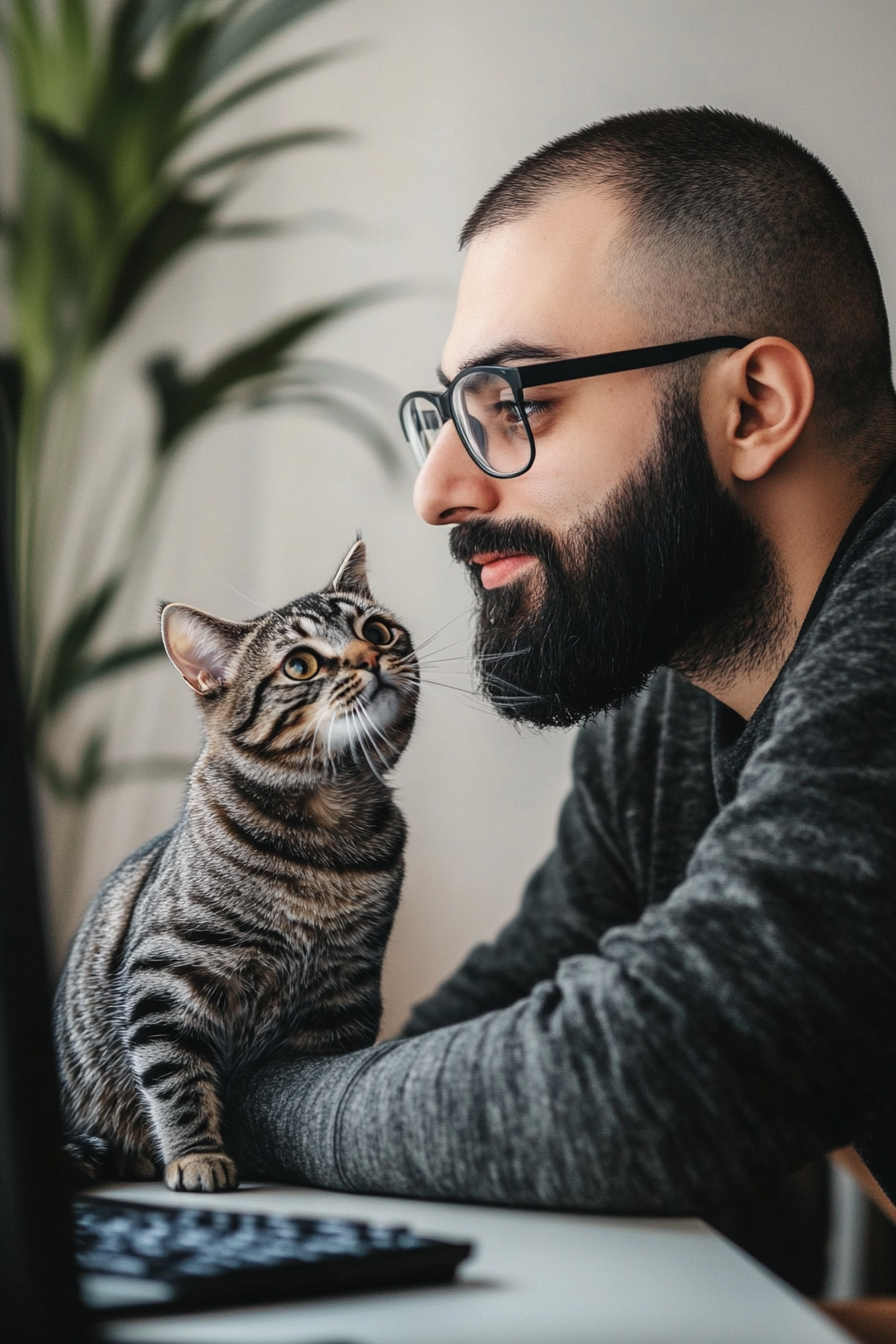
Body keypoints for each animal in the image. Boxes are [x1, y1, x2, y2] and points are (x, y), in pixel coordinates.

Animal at [54, 540, 419, 1193]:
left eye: (377, 630)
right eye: (300, 666)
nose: (369, 656)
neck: (325, 838)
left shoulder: (345, 991)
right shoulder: (167, 976)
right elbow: (176, 1078)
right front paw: (197, 1155)